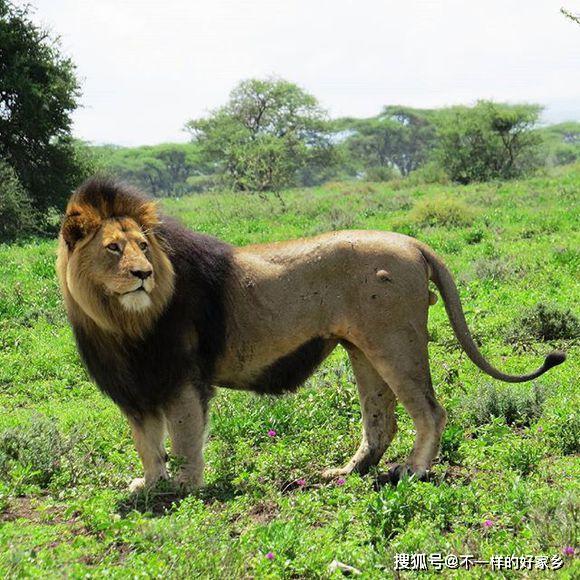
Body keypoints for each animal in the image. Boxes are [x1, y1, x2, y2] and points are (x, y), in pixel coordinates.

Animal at [56, 179, 564, 492]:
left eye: (144, 247)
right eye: (113, 248)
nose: (142, 274)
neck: (120, 323)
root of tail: (412, 241)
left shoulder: (182, 379)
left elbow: (183, 442)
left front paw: (185, 489)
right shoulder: (134, 388)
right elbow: (147, 444)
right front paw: (149, 485)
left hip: (395, 342)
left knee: (431, 412)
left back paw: (413, 472)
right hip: (364, 348)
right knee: (381, 421)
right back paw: (348, 471)